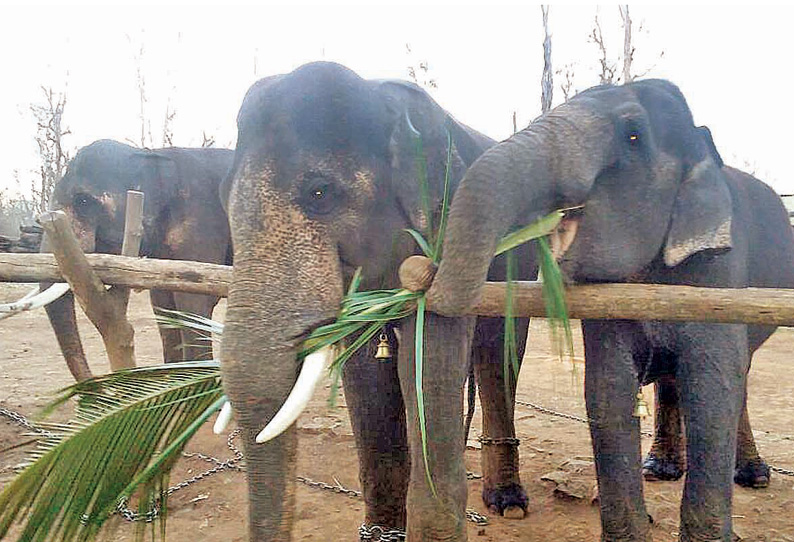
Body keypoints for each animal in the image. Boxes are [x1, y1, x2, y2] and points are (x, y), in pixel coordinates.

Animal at [220, 61, 536, 540]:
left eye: (319, 192)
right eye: (224, 202)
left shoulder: (448, 233)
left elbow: (428, 363)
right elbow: (367, 375)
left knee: (498, 354)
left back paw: (509, 503)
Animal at [426, 77, 792, 542]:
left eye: (633, 136)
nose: (424, 278)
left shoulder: (720, 276)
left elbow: (712, 392)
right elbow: (608, 392)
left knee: (737, 377)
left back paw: (752, 476)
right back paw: (659, 469)